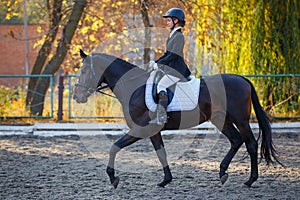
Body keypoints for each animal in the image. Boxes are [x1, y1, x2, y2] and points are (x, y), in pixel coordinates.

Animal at [73, 50, 282, 189]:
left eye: (84, 71)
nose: (76, 96)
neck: (133, 87)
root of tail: (243, 79)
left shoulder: (140, 129)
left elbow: (114, 147)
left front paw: (113, 178)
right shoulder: (153, 130)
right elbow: (161, 153)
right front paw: (165, 180)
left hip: (240, 120)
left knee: (251, 144)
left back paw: (250, 180)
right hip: (221, 119)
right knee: (236, 140)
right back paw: (223, 173)